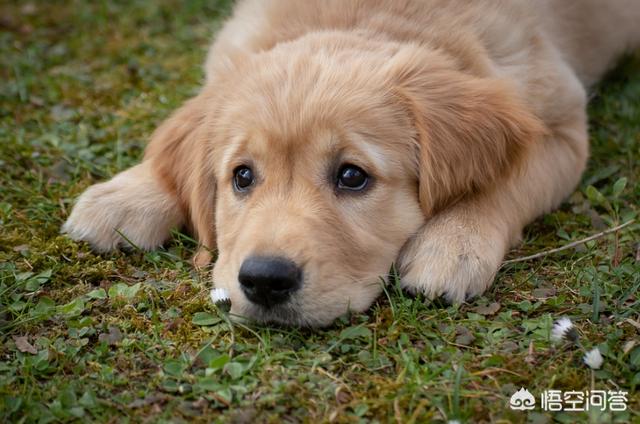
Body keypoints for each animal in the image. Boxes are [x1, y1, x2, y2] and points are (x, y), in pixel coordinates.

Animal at [63, 0, 640, 326]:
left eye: (352, 177)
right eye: (241, 176)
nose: (265, 281)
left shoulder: (561, 126)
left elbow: (507, 180)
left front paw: (454, 242)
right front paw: (126, 195)